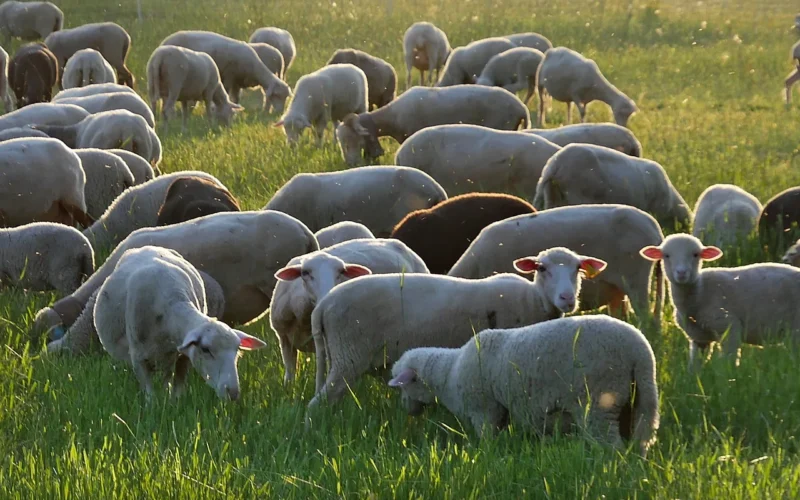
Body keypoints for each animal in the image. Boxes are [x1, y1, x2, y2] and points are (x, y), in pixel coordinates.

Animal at [92, 245, 267, 400]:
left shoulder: (181, 355)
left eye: (237, 350)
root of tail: (147, 247)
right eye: (206, 349)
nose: (233, 393)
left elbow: (174, 388)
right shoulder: (138, 358)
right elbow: (150, 395)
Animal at [161, 30, 292, 113]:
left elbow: (236, 98)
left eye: (286, 97)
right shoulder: (229, 77)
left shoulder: (237, 82)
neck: (254, 67)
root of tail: (164, 42)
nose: (280, 113)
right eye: (277, 95)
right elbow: (228, 95)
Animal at [308, 247, 607, 407]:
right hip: (349, 355)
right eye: (542, 268)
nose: (567, 298)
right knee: (317, 404)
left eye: (578, 269)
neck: (533, 299)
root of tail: (324, 305)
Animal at [388, 315, 658, 455]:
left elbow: (486, 437)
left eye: (402, 386)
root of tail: (639, 351)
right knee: (640, 437)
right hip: (640, 397)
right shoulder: (501, 409)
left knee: (610, 444)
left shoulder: (484, 409)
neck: (449, 372)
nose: (406, 410)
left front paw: (485, 455)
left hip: (600, 399)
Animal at [640, 234, 800, 367]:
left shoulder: (728, 327)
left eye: (695, 255)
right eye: (666, 255)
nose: (681, 273)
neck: (699, 293)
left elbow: (728, 361)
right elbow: (695, 366)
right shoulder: (698, 338)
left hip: (795, 328)